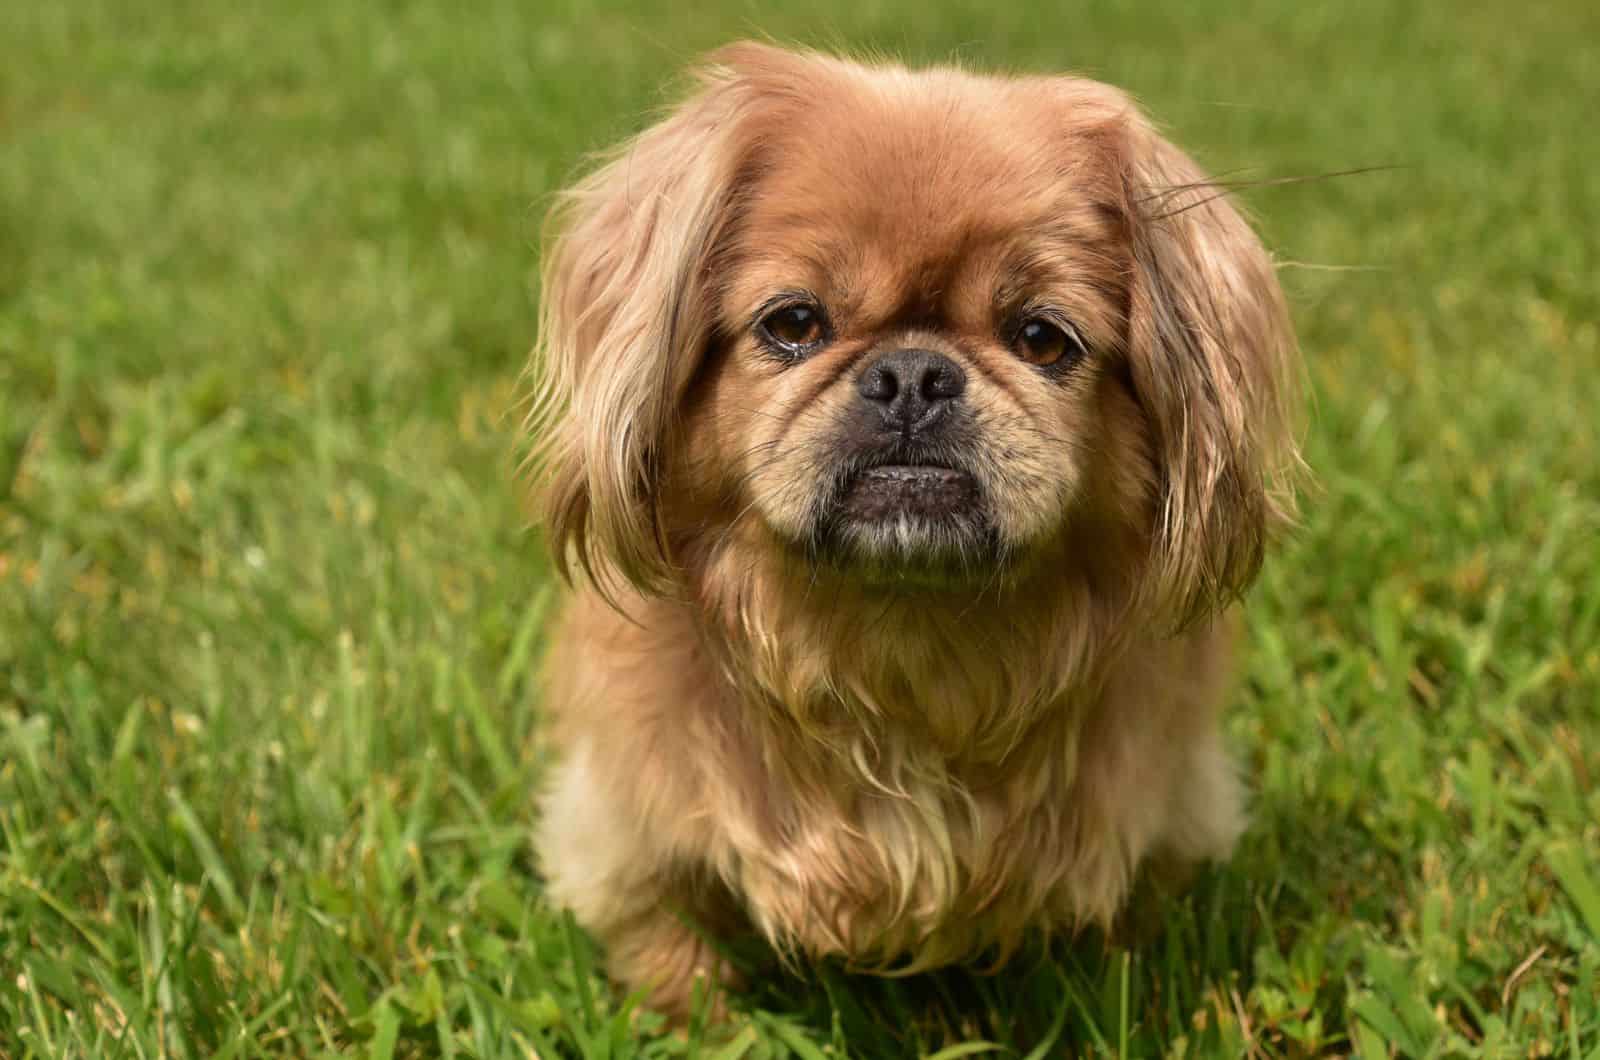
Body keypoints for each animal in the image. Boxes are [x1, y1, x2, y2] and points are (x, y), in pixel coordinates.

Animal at [524, 41, 1299, 1018]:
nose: (913, 376)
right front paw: (699, 1014)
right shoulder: (628, 834)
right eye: (794, 323)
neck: (901, 649)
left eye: (1043, 339)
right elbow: (669, 944)